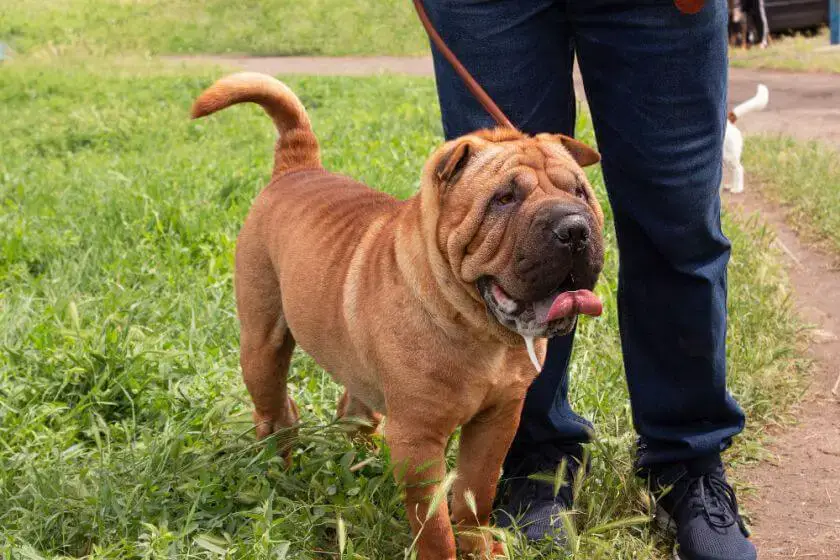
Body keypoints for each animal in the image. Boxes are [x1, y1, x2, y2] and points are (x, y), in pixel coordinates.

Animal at [192, 74, 604, 560]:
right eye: (504, 198)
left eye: (579, 191)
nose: (574, 228)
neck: (476, 327)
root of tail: (296, 167)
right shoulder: (417, 439)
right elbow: (434, 524)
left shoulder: (498, 419)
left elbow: (475, 493)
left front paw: (481, 546)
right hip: (263, 342)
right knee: (276, 412)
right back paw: (278, 469)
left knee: (351, 409)